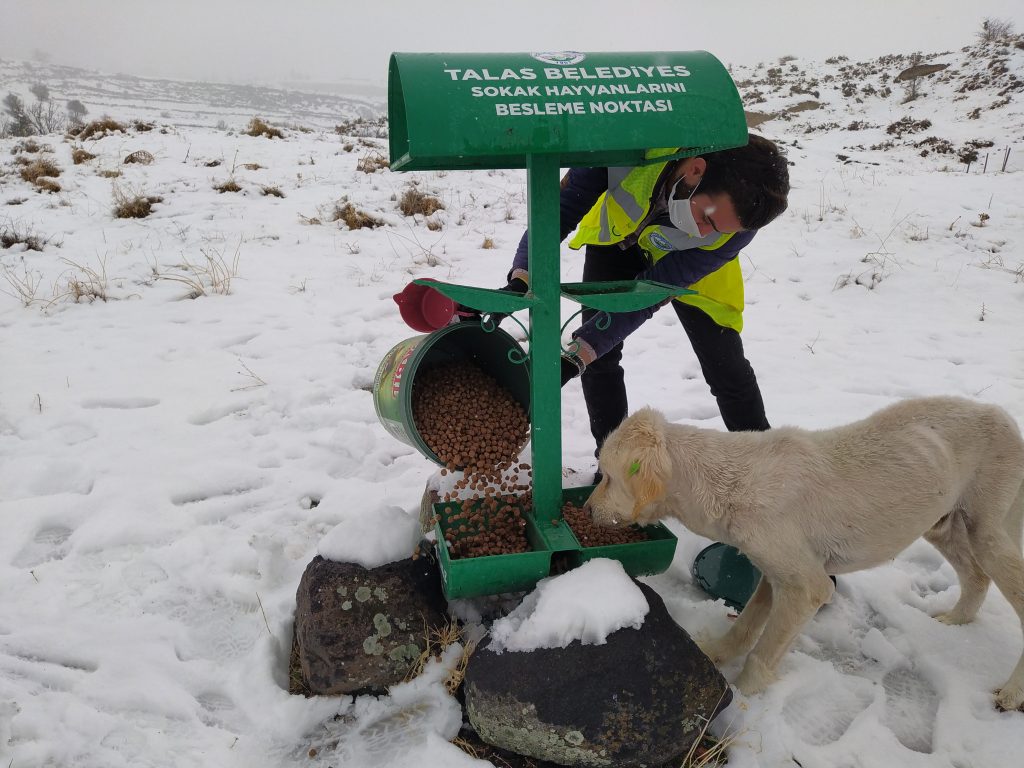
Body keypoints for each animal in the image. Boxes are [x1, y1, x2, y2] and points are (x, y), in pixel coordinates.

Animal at [585, 399, 1024, 712]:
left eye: (606, 476)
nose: (586, 511)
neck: (731, 480)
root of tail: (1004, 416)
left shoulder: (806, 587)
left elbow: (763, 654)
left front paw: (744, 701)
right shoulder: (774, 574)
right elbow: (745, 626)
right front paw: (715, 655)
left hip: (988, 533)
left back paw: (1012, 692)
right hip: (942, 525)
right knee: (976, 577)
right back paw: (956, 620)